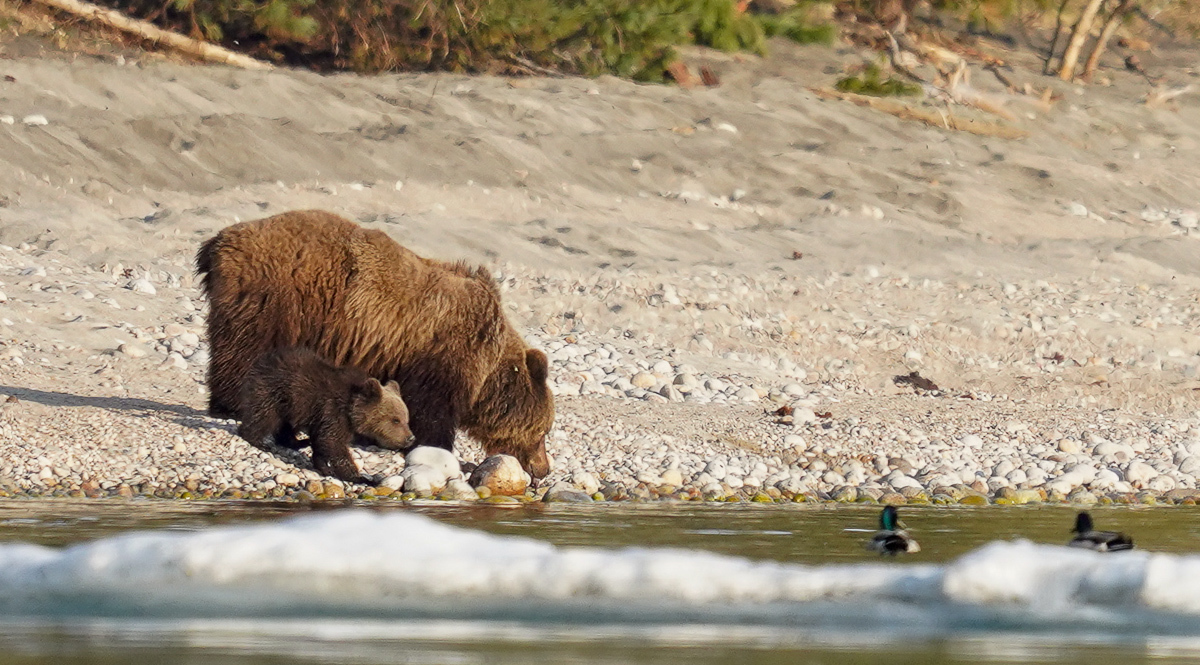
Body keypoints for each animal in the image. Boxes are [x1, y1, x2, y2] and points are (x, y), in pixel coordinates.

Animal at [234, 343, 412, 477]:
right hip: (275, 391)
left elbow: (322, 443)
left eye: (406, 419)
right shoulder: (333, 412)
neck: (351, 411)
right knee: (265, 416)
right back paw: (258, 440)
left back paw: (299, 442)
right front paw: (359, 476)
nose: (410, 438)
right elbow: (332, 442)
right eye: (396, 420)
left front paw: (324, 466)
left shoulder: (325, 417)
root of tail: (263, 358)